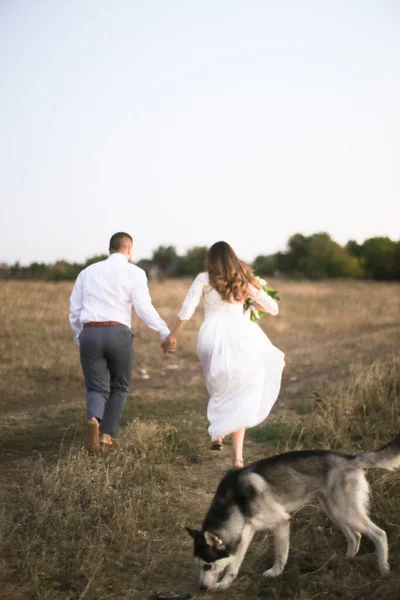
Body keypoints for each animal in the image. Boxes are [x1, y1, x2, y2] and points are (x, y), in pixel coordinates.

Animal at [187, 436, 400, 592]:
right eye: (198, 566)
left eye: (208, 566)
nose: (202, 588)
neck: (235, 499)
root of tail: (351, 458)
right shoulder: (243, 536)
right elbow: (233, 565)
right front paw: (224, 584)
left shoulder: (281, 522)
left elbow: (280, 554)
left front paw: (274, 574)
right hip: (335, 512)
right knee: (355, 536)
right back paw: (345, 560)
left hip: (345, 512)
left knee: (379, 534)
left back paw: (384, 570)